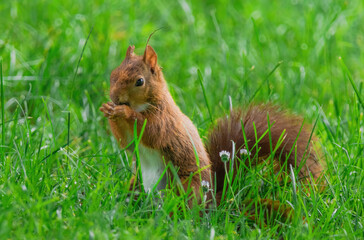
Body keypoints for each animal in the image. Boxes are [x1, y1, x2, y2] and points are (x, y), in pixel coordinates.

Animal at [99, 44, 324, 209]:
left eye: (140, 81)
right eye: (113, 74)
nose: (115, 98)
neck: (144, 104)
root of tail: (212, 201)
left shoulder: (164, 122)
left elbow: (150, 131)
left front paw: (124, 112)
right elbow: (127, 144)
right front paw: (109, 110)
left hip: (186, 185)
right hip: (136, 182)